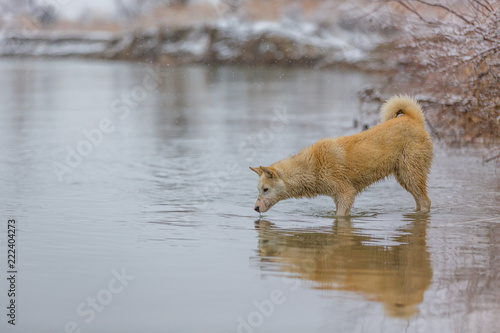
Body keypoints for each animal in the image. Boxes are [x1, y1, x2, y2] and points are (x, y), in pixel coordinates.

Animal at [250, 94, 434, 217]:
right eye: (259, 189)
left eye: (265, 189)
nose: (255, 209)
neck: (311, 167)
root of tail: (413, 119)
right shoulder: (337, 197)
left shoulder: (346, 193)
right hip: (403, 177)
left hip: (411, 174)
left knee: (426, 202)